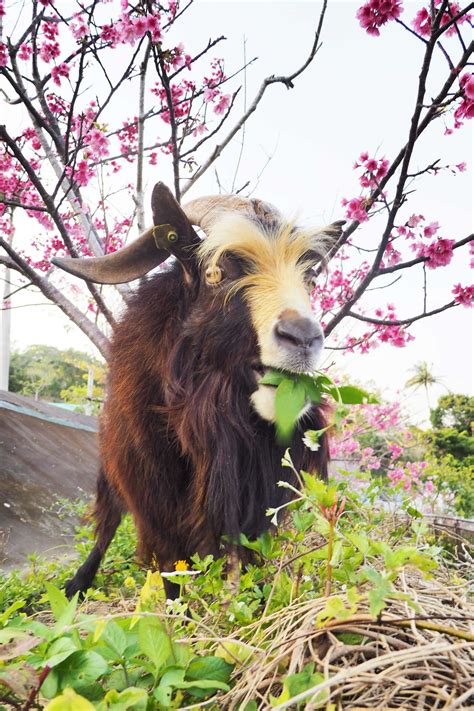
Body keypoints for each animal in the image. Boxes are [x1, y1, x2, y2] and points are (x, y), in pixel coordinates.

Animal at [54, 181, 344, 596]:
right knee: (107, 522)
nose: (302, 338)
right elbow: (170, 571)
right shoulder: (154, 504)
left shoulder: (249, 508)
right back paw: (78, 582)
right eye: (214, 272)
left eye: (310, 280)